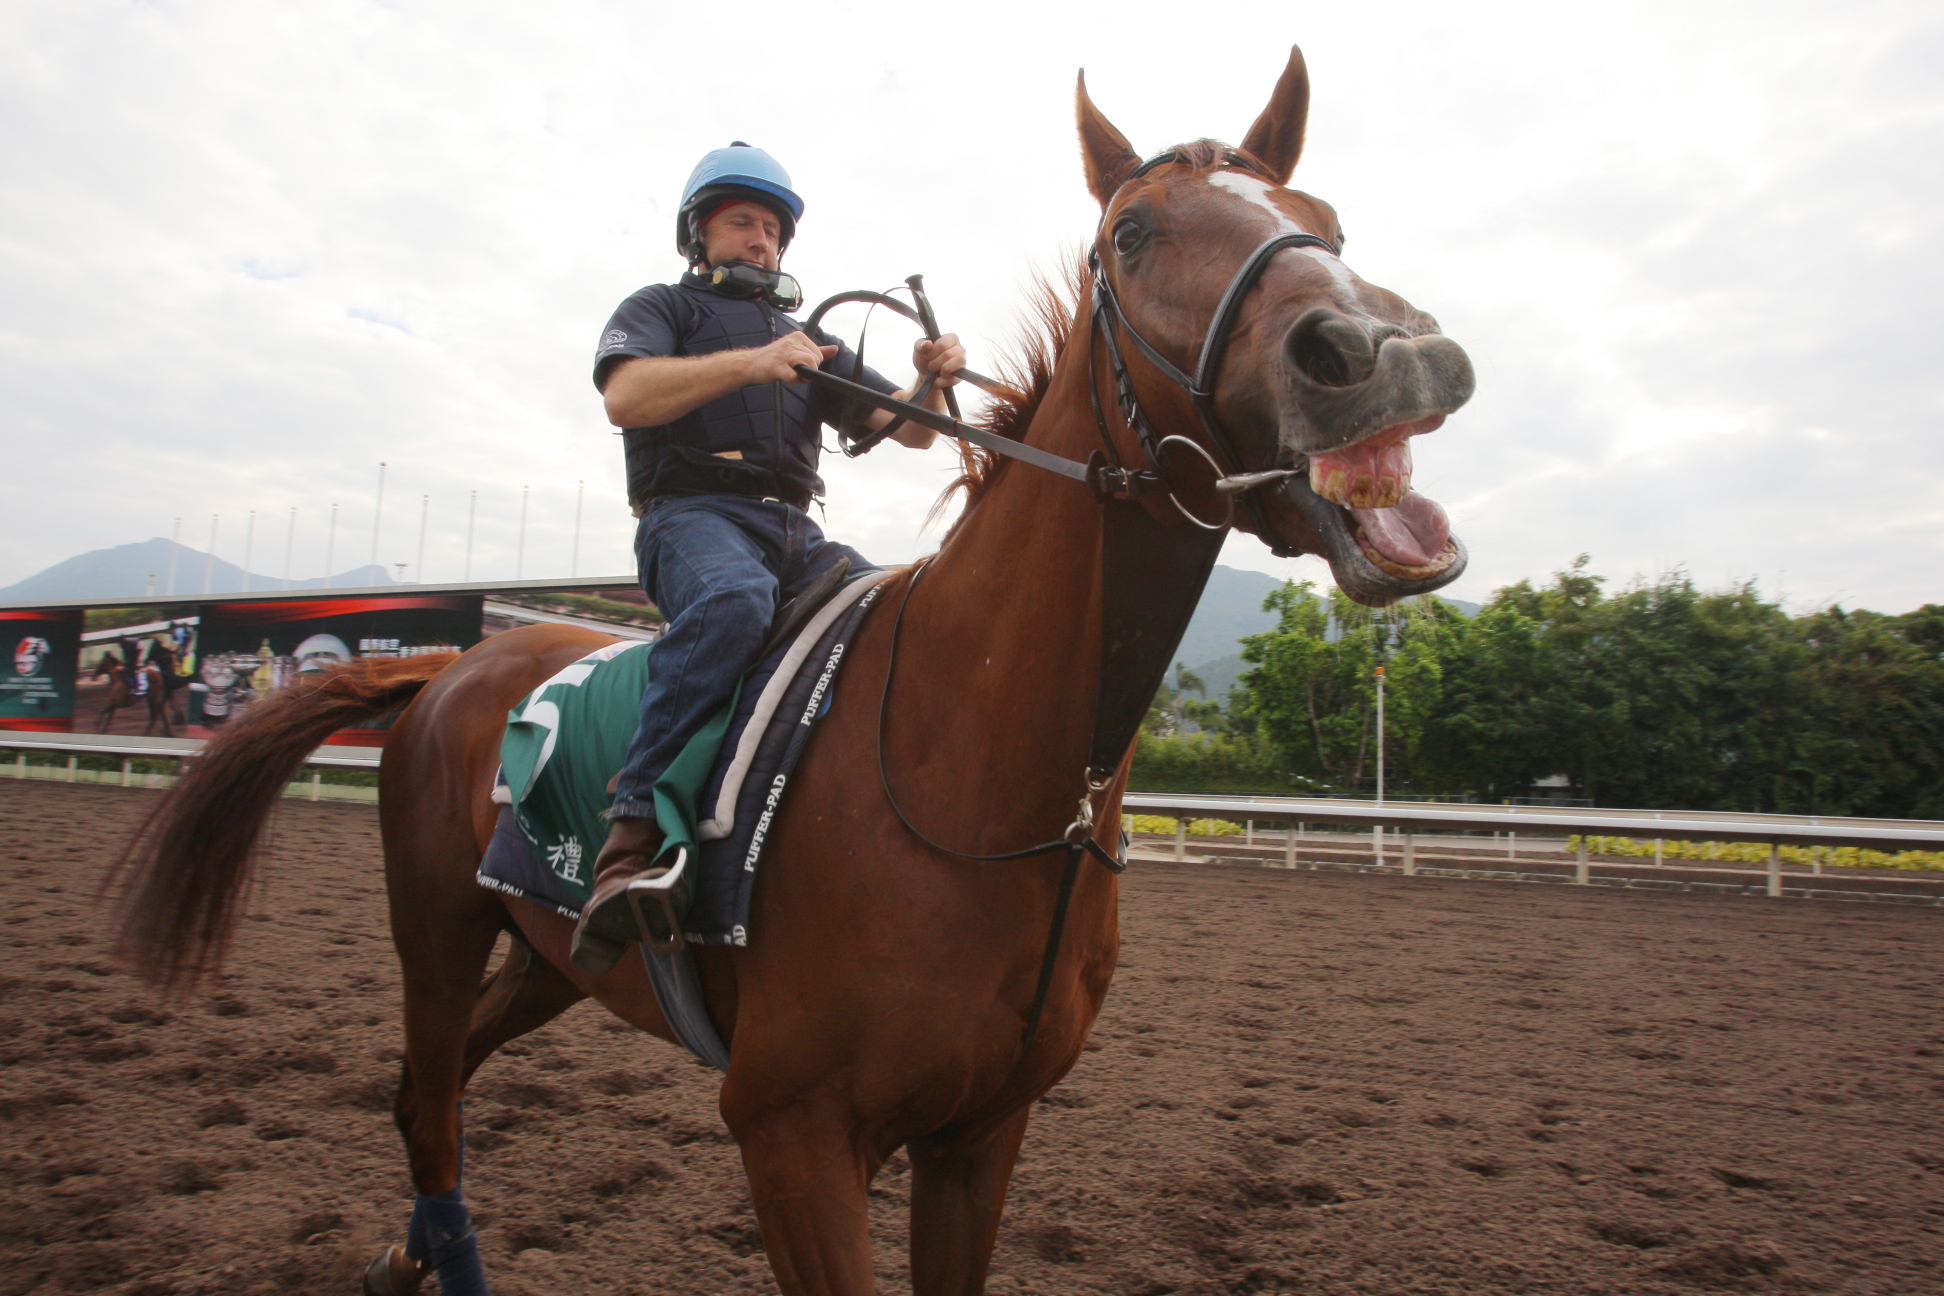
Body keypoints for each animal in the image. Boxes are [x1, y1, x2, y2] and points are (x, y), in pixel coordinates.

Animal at [110, 48, 1469, 1296]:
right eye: (1131, 233)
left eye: (1326, 219)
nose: (1383, 352)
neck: (979, 768)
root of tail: (458, 659)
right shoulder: (792, 1132)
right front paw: (775, 359)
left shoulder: (981, 1133)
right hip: (437, 934)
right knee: (434, 1098)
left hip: (547, 955)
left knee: (421, 1090)